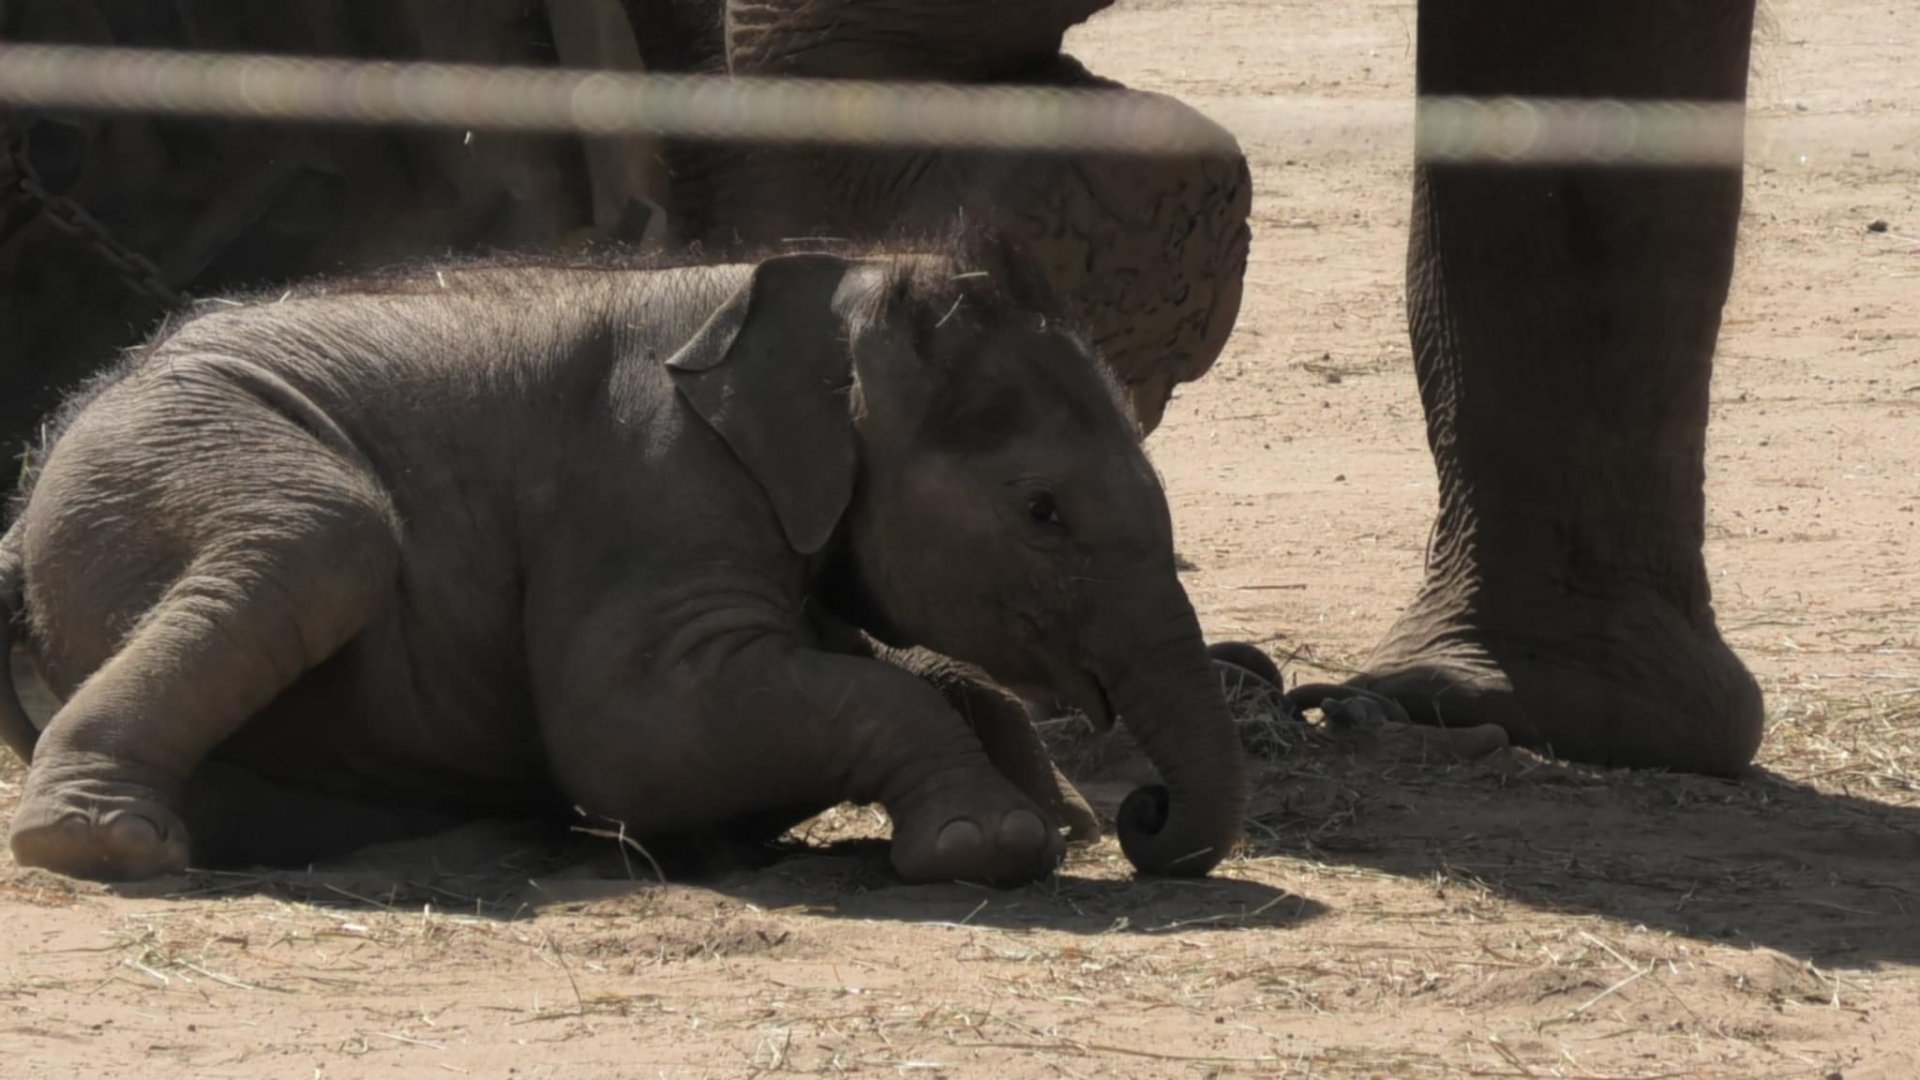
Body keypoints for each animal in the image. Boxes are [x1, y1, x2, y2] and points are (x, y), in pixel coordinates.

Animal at [0, 234, 1249, 884]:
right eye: (1044, 511)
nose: (1142, 823)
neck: (832, 285)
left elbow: (885, 667)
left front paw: (1057, 823)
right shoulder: (655, 482)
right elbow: (634, 732)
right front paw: (992, 843)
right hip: (176, 455)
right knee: (324, 536)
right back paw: (103, 843)